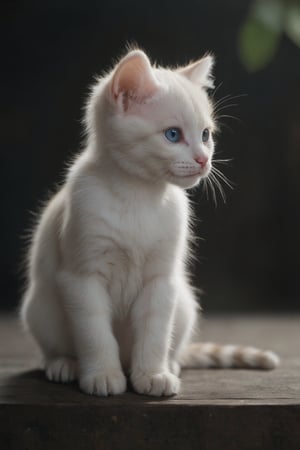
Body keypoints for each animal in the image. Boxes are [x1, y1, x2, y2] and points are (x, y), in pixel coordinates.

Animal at [20, 47, 278, 396]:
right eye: (173, 135)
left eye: (206, 135)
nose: (203, 160)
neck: (139, 196)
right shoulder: (81, 278)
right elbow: (95, 334)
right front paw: (102, 374)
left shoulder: (161, 280)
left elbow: (155, 333)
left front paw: (152, 374)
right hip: (40, 308)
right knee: (55, 346)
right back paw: (64, 364)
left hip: (184, 304)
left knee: (170, 345)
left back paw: (168, 365)